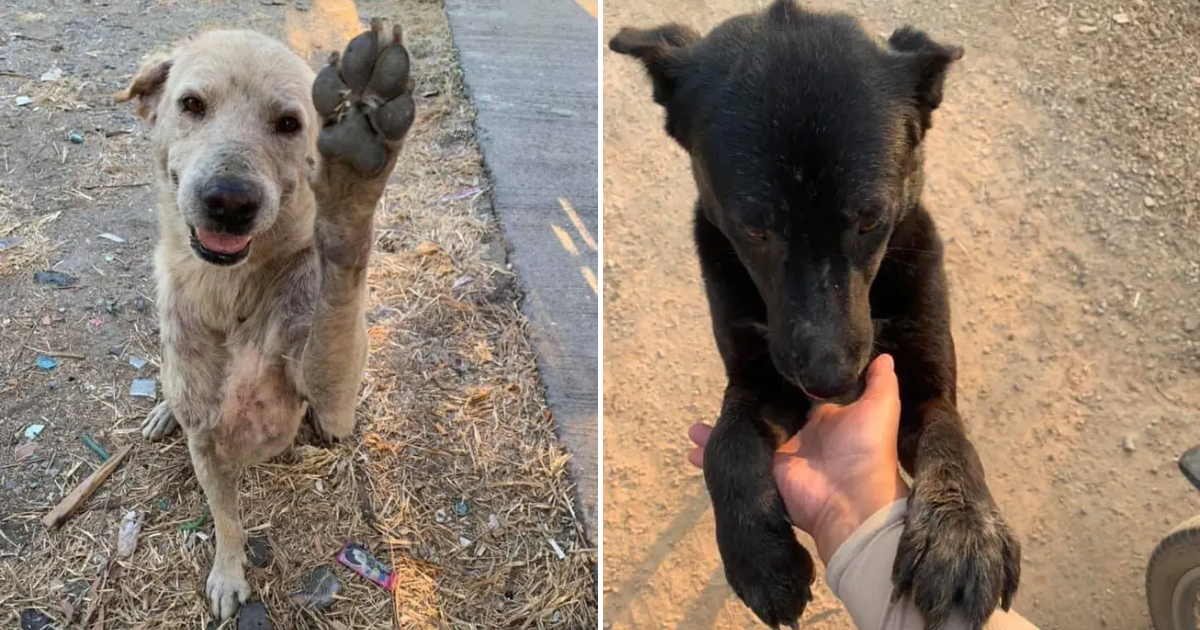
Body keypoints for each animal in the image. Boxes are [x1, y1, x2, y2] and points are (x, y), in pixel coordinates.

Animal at [614, 1, 1017, 628]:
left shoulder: (926, 385)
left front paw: (961, 531)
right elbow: (726, 445)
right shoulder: (759, 382)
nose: (832, 383)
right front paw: (759, 557)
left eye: (871, 220)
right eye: (756, 230)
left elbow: (952, 439)